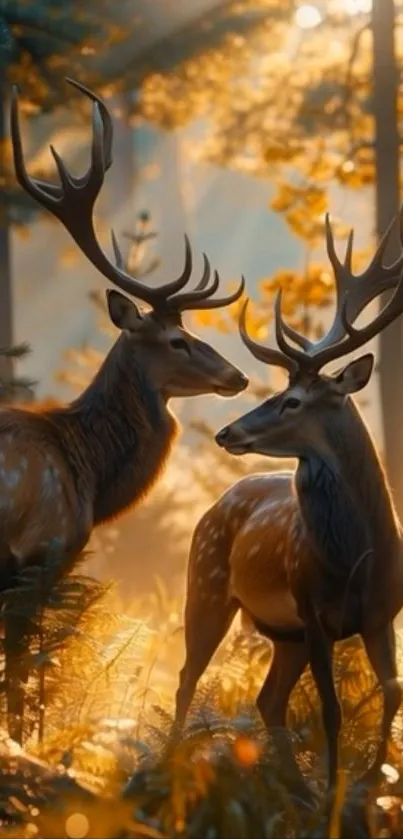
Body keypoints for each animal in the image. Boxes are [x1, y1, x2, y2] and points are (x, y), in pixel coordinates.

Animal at [174, 212, 403, 816]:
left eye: (293, 401)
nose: (228, 432)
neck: (357, 558)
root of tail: (216, 505)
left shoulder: (380, 615)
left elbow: (392, 693)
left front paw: (369, 783)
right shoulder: (313, 609)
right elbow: (332, 710)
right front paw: (336, 796)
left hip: (283, 633)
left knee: (268, 699)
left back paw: (294, 790)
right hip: (206, 586)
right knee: (186, 678)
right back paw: (167, 766)